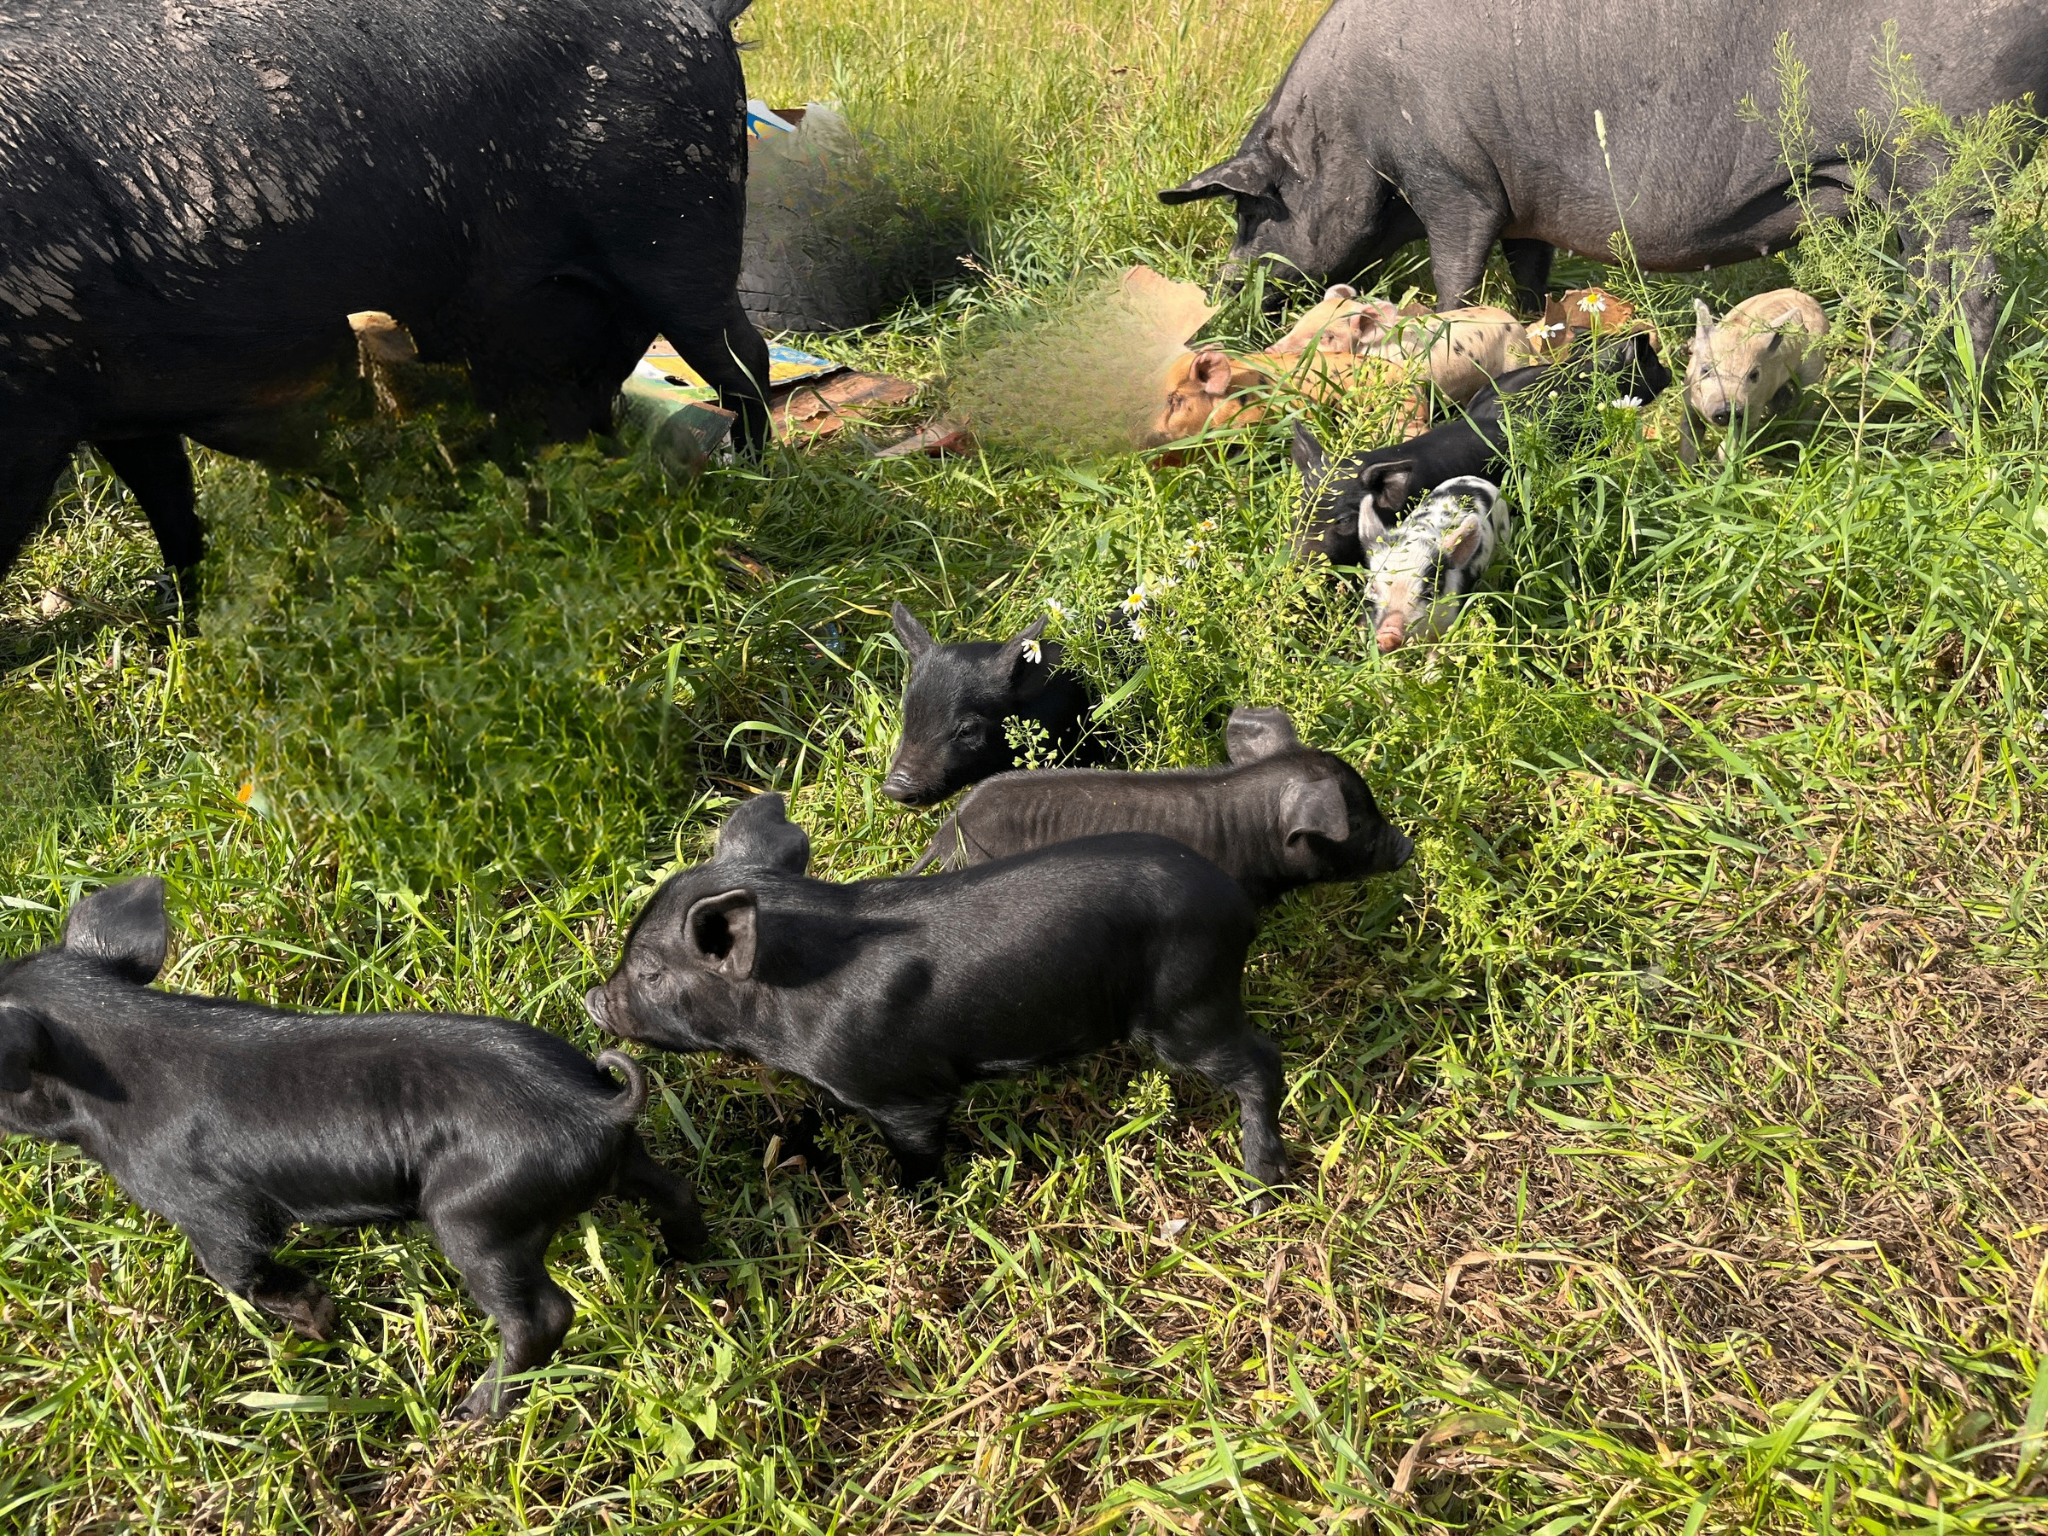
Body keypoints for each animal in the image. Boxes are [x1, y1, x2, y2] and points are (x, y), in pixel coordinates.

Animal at [0, 0, 772, 599]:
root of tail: (700, 13)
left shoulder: (33, 403)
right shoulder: (117, 401)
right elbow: (170, 501)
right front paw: (185, 615)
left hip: (680, 231)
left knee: (744, 358)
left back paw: (754, 476)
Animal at [0, 878, 703, 1421]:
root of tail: (591, 1103)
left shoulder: (210, 1207)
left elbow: (235, 1270)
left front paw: (321, 1324)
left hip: (476, 1216)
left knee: (542, 1315)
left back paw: (470, 1413)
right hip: (619, 1162)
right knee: (675, 1189)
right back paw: (684, 1261)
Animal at [586, 794, 1290, 1204]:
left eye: (650, 973)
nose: (594, 998)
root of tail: (1234, 900)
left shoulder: (905, 1095)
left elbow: (918, 1152)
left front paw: (905, 1202)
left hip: (1185, 1002)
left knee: (1263, 1062)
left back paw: (1261, 1188)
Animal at [1157, 0, 2037, 363]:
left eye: (1250, 211)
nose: (1220, 303)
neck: (1351, 127)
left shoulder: (1453, 178)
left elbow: (1454, 268)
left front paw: (1447, 325)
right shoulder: (1521, 205)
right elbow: (1526, 270)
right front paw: (1525, 327)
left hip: (1947, 161)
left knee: (1971, 290)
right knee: (1934, 286)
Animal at [1685, 289, 1828, 432]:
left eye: (1754, 375)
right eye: (1705, 370)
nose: (1727, 409)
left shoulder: (1756, 404)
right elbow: (1689, 426)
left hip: (1815, 363)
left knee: (1808, 397)